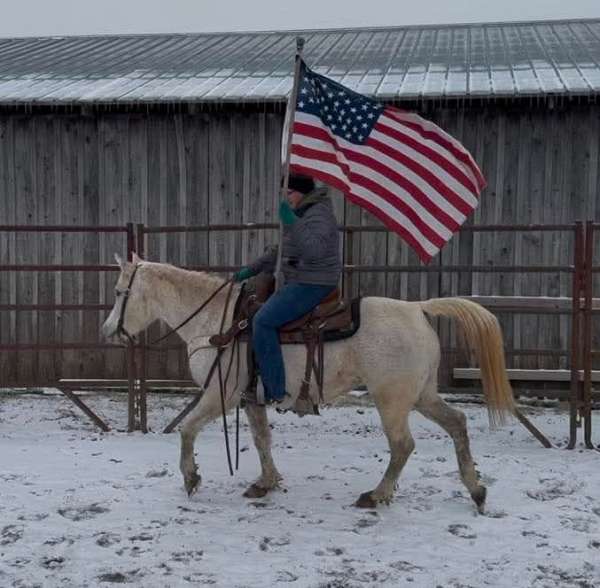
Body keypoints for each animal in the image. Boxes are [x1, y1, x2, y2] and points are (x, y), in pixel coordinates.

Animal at [101, 255, 512, 512]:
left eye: (121, 293)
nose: (107, 332)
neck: (218, 323)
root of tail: (417, 308)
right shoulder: (251, 398)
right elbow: (261, 440)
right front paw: (266, 482)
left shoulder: (222, 395)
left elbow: (187, 429)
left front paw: (191, 478)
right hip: (422, 395)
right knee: (457, 423)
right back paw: (476, 490)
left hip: (392, 401)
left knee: (402, 446)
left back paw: (376, 495)